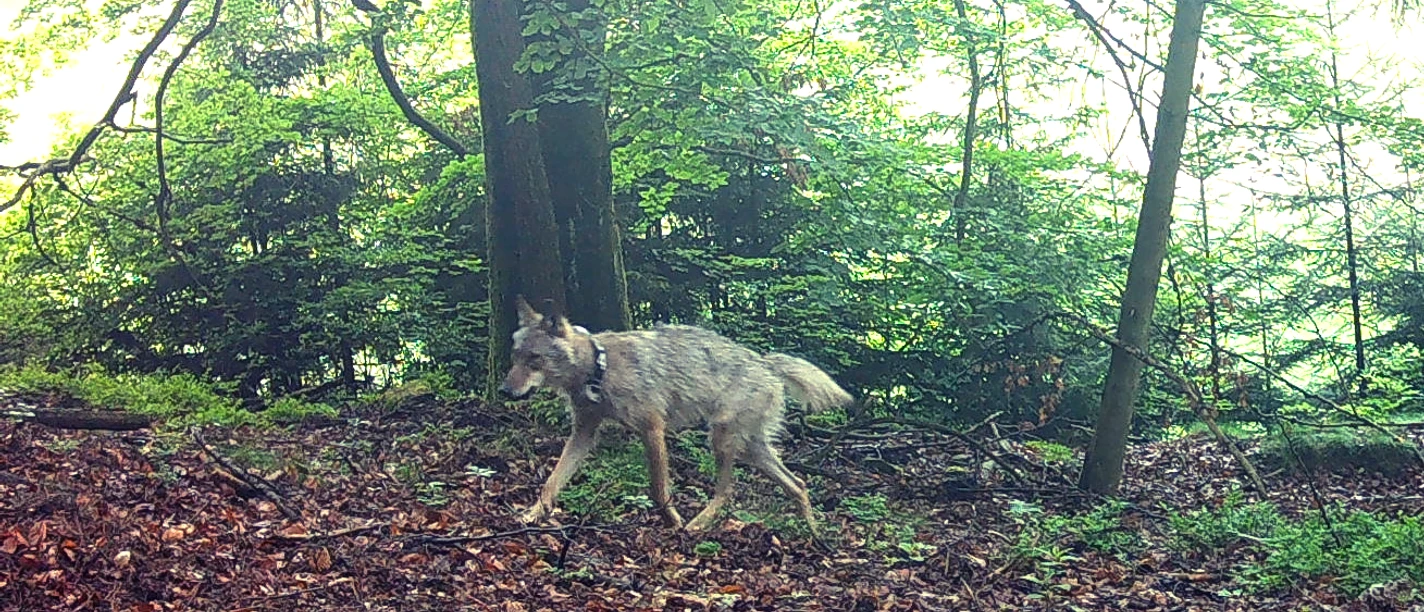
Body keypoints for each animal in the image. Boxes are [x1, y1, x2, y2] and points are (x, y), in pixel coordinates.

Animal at [499, 295, 853, 533]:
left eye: (534, 359)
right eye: (514, 357)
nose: (504, 391)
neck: (600, 369)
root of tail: (765, 362)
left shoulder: (652, 429)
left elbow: (659, 491)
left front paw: (673, 522)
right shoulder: (583, 433)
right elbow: (551, 483)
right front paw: (531, 515)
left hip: (722, 440)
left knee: (728, 492)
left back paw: (696, 526)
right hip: (752, 450)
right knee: (798, 484)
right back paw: (814, 536)